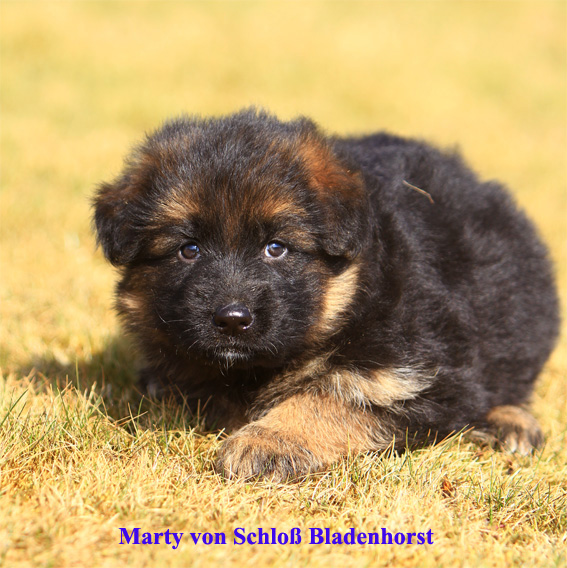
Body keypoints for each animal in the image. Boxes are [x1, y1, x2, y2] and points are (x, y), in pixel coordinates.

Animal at [94, 108, 559, 480]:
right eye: (188, 250)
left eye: (276, 247)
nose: (232, 320)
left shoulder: (423, 375)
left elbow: (330, 397)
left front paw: (267, 441)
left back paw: (511, 422)